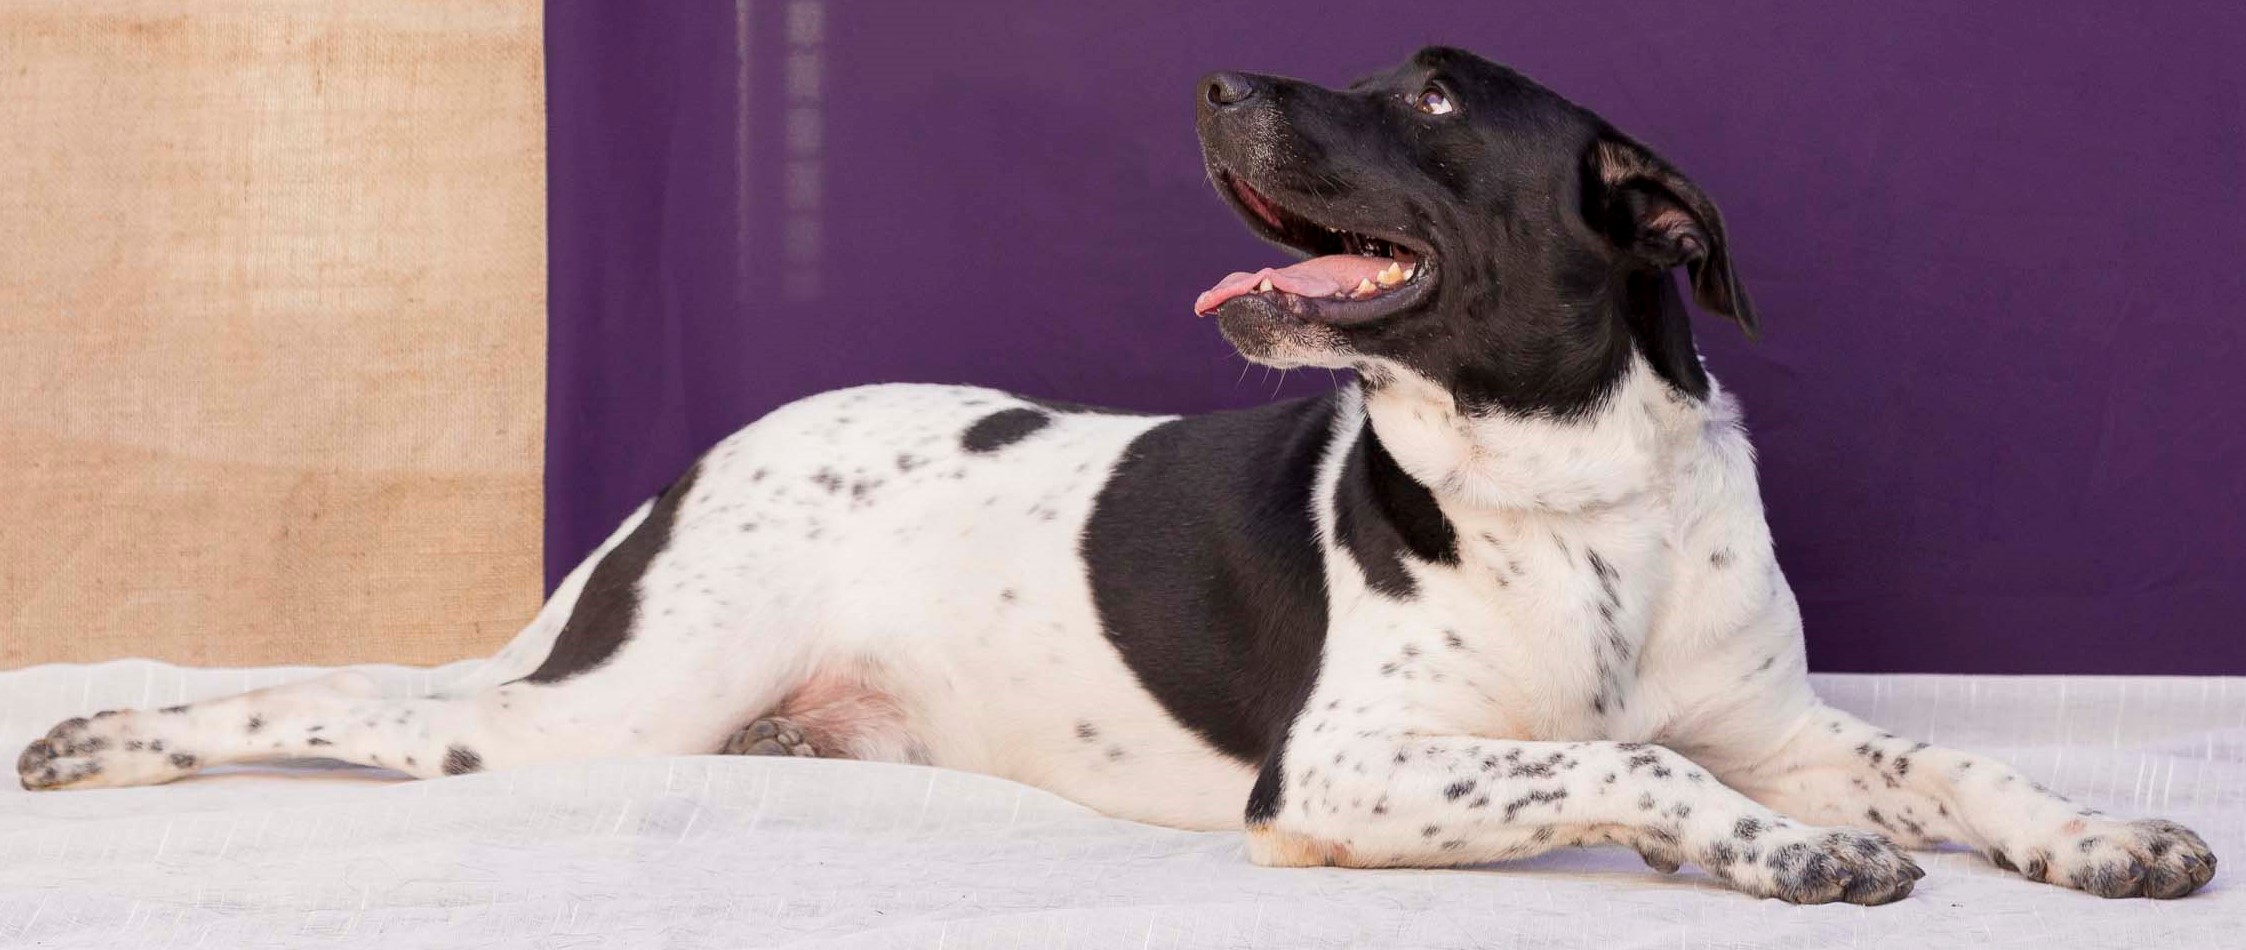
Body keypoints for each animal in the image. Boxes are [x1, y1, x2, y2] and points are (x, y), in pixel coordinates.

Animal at [26, 46, 2219, 907]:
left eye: (1434, 97)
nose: (1214, 78)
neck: (1566, 494)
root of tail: (707, 453)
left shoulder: (1780, 719)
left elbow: (1948, 763)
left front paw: (2098, 835)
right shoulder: (1342, 776)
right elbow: (1626, 768)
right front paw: (1783, 862)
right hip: (602, 708)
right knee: (337, 703)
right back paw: (97, 743)